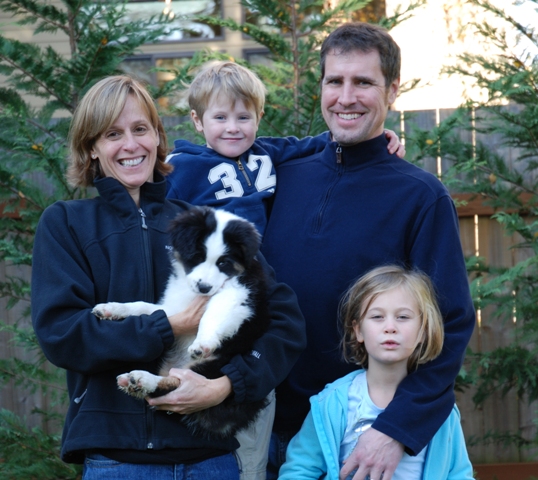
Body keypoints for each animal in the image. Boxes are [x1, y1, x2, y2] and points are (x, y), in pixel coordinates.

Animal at [92, 206, 271, 438]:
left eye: (223, 263)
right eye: (197, 257)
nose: (204, 288)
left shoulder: (240, 292)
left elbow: (213, 313)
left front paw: (202, 343)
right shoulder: (175, 306)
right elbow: (144, 307)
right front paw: (112, 309)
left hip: (216, 365)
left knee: (176, 384)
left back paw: (142, 379)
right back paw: (134, 381)